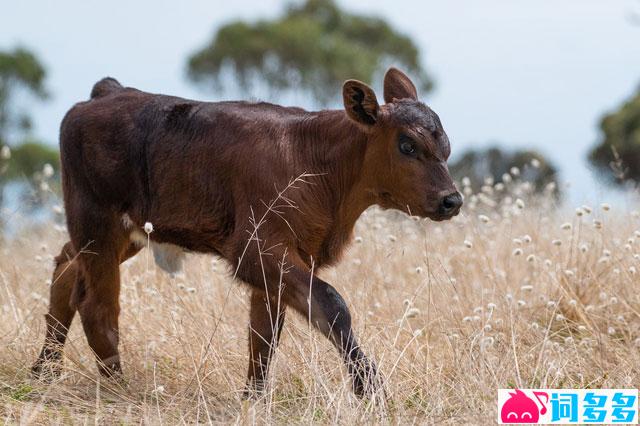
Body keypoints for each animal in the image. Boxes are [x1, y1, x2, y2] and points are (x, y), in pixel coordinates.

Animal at [32, 67, 460, 396]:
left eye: (446, 146)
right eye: (407, 144)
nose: (451, 200)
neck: (315, 159)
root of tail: (109, 92)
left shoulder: (289, 256)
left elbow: (265, 332)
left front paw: (253, 398)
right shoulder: (255, 250)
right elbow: (330, 304)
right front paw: (368, 387)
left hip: (124, 233)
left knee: (65, 271)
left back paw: (44, 371)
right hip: (97, 224)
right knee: (97, 305)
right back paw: (118, 389)